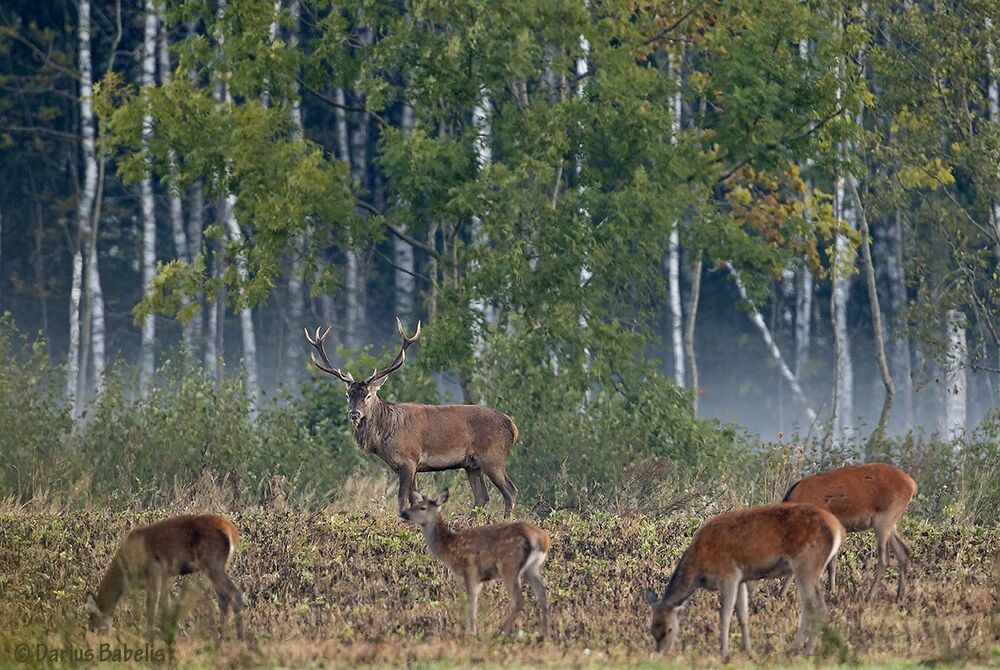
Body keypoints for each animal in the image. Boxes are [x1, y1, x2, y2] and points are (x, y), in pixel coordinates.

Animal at [86, 514, 244, 641]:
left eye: (93, 622)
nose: (94, 638)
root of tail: (232, 531)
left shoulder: (155, 571)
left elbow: (151, 608)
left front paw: (150, 638)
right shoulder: (165, 577)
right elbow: (165, 606)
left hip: (211, 563)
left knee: (234, 594)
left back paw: (238, 640)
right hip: (216, 566)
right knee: (224, 598)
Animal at [305, 318, 520, 516]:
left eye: (368, 395)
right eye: (348, 395)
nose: (354, 413)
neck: (384, 437)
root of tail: (513, 427)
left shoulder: (409, 459)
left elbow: (402, 499)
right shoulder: (413, 465)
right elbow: (414, 498)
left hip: (493, 457)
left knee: (510, 491)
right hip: (472, 465)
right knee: (482, 497)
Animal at [399, 488, 550, 637]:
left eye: (422, 507)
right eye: (413, 505)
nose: (403, 513)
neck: (448, 547)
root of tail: (542, 540)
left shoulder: (469, 571)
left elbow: (471, 601)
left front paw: (470, 632)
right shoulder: (478, 579)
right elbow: (475, 602)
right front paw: (472, 630)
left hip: (509, 565)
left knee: (519, 600)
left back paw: (501, 632)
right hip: (532, 568)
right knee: (542, 594)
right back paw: (544, 632)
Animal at [644, 503, 845, 660]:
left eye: (670, 629)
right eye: (652, 630)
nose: (662, 654)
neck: (699, 569)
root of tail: (838, 530)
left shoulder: (728, 575)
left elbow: (724, 615)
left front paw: (724, 653)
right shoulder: (741, 579)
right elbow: (743, 615)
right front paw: (747, 651)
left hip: (808, 565)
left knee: (819, 608)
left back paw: (807, 651)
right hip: (805, 570)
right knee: (808, 608)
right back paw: (794, 649)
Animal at [779, 462, 917, 602]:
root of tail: (912, 485)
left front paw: (782, 595)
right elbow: (831, 563)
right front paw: (832, 592)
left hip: (884, 519)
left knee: (884, 559)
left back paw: (869, 596)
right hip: (891, 521)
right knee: (903, 553)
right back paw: (900, 597)